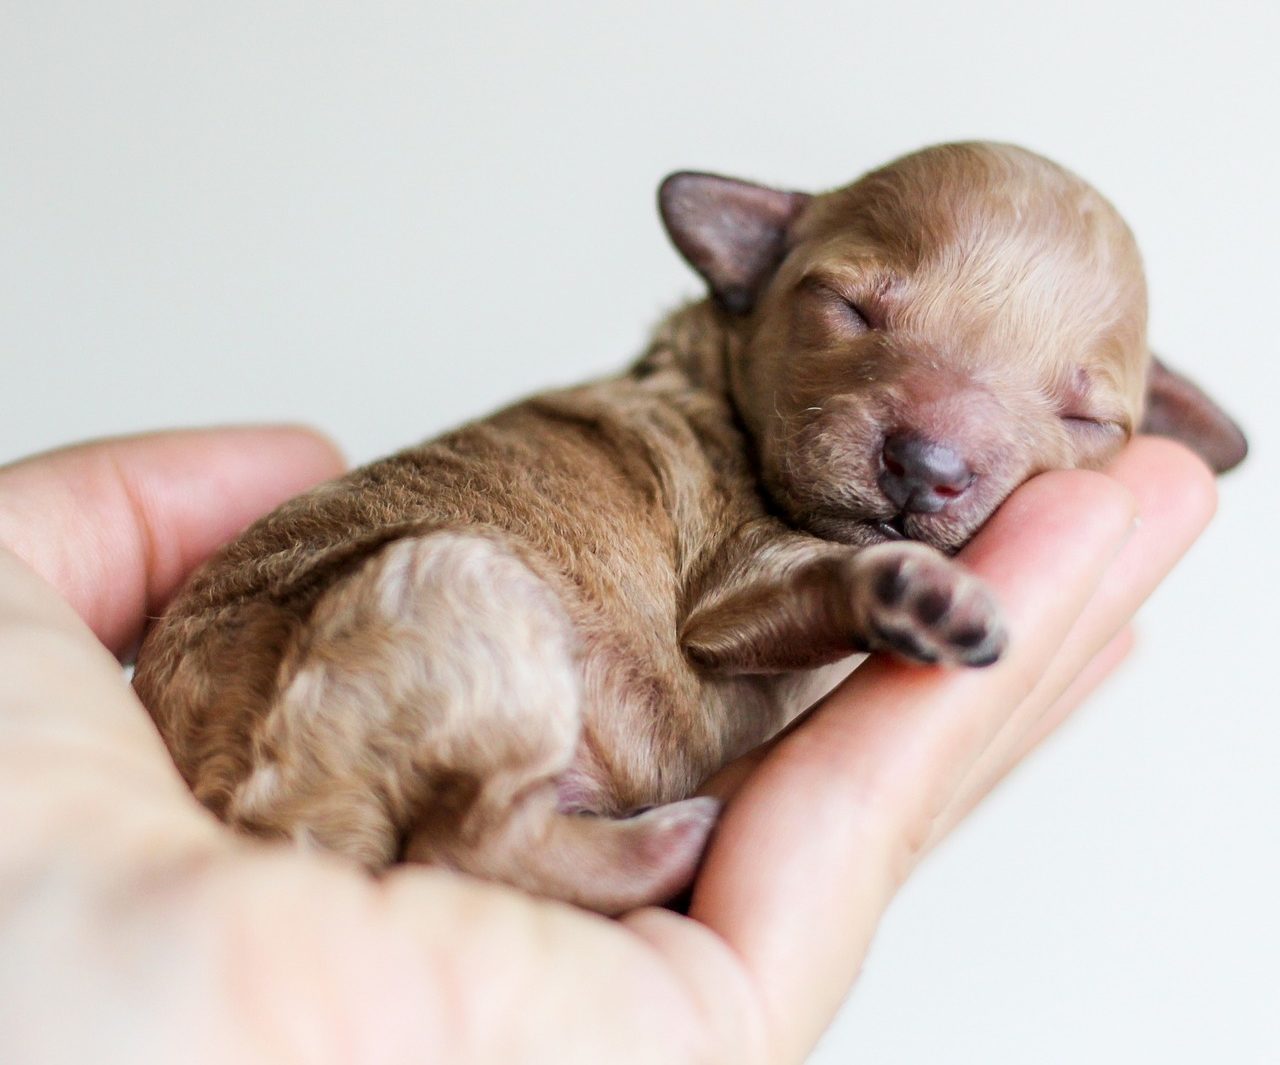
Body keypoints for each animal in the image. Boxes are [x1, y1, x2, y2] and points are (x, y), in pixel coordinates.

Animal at [135, 141, 1244, 916]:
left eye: (1087, 419)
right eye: (849, 308)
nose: (926, 466)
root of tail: (243, 801)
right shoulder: (732, 580)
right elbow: (807, 578)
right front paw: (909, 591)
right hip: (466, 590)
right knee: (465, 840)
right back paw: (671, 841)